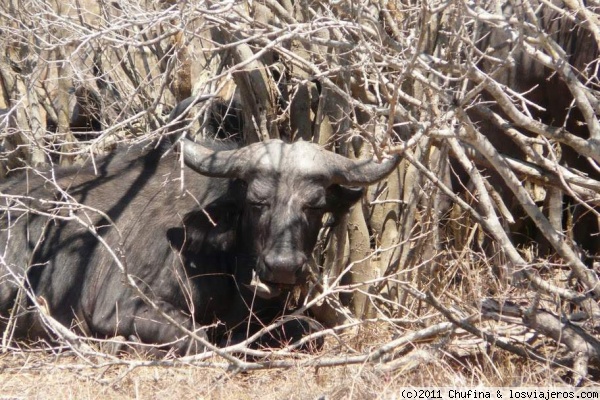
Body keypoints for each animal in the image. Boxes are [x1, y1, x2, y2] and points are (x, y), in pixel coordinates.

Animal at [1, 97, 404, 356]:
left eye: (315, 205)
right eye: (257, 202)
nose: (283, 266)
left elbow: (313, 332)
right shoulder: (119, 307)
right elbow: (201, 339)